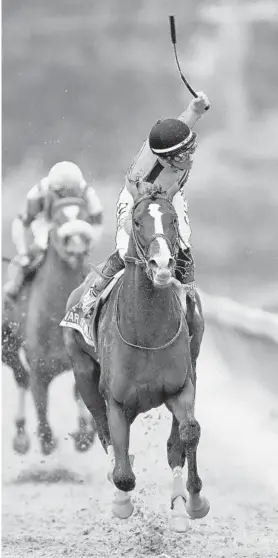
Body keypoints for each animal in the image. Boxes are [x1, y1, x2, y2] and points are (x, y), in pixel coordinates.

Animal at [1, 199, 99, 458]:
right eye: (58, 219)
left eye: (85, 217)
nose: (77, 250)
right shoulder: (40, 368)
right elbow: (41, 408)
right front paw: (48, 440)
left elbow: (81, 392)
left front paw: (84, 434)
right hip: (7, 347)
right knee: (21, 377)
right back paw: (21, 437)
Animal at [61, 185, 208, 532]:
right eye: (138, 222)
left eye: (173, 220)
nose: (163, 264)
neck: (147, 332)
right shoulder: (116, 401)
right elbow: (123, 473)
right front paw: (122, 502)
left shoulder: (181, 387)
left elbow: (188, 434)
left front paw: (194, 502)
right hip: (82, 372)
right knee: (104, 434)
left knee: (174, 446)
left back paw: (179, 507)